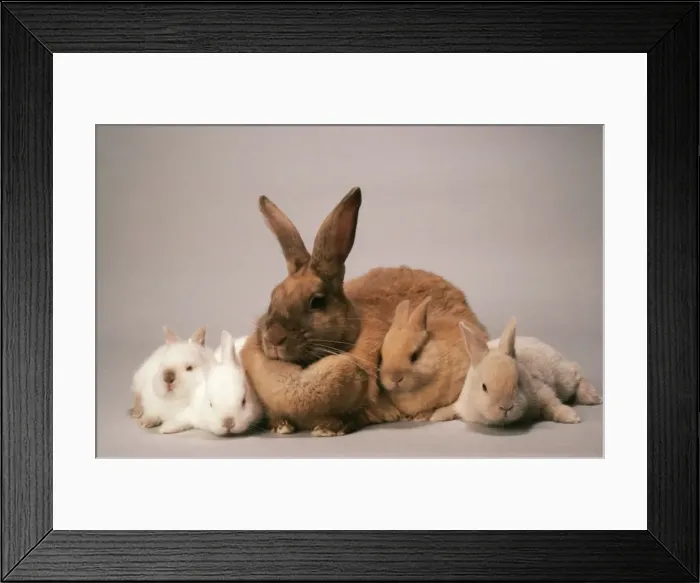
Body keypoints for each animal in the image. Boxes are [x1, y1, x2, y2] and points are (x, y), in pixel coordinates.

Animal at [443, 318, 603, 427]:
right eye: (484, 387)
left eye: (518, 382)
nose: (506, 407)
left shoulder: (541, 390)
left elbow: (553, 404)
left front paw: (572, 417)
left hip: (563, 377)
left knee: (577, 374)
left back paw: (593, 397)